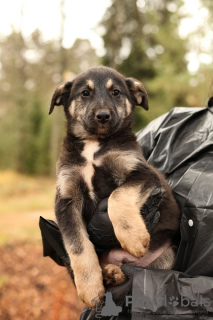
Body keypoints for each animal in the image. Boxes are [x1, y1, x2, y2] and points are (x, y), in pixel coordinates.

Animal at [49, 66, 180, 308]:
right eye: (85, 93)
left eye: (116, 93)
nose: (103, 116)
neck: (94, 144)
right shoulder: (66, 198)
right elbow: (78, 246)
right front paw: (90, 287)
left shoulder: (143, 174)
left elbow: (118, 195)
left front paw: (133, 237)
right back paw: (111, 274)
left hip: (166, 258)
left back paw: (116, 273)